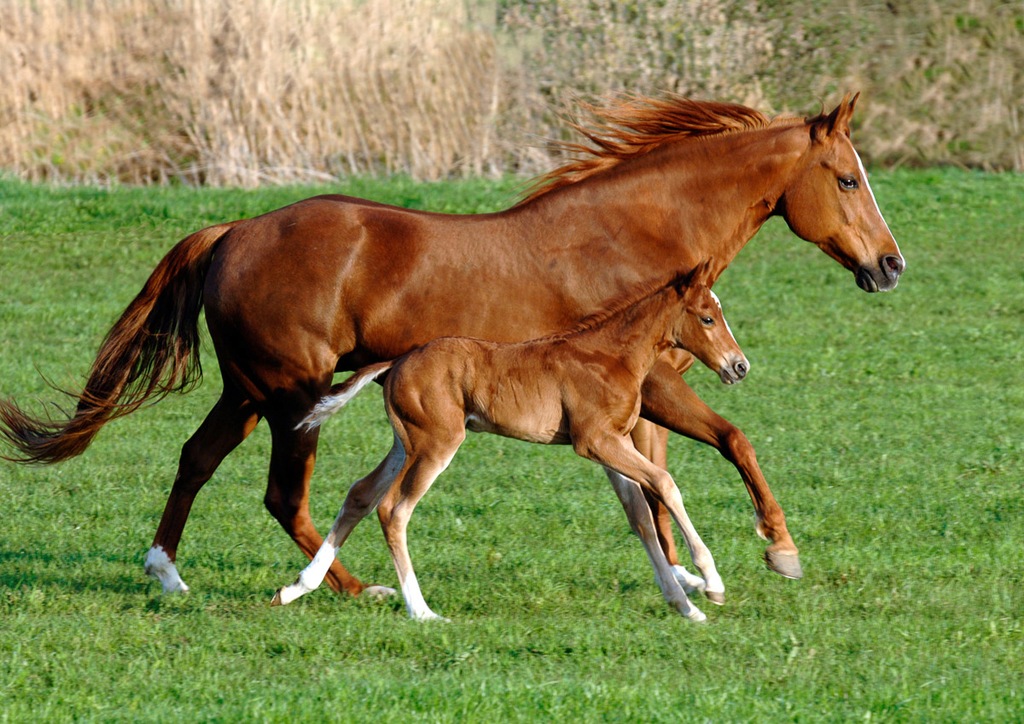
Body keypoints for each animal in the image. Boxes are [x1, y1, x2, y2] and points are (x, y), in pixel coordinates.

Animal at [272, 260, 745, 622]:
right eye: (707, 317)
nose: (739, 366)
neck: (612, 356)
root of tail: (398, 361)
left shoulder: (614, 445)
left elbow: (640, 517)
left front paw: (685, 606)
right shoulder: (595, 441)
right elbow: (665, 484)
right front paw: (711, 582)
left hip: (405, 443)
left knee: (361, 494)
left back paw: (297, 587)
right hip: (436, 444)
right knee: (393, 509)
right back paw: (422, 611)